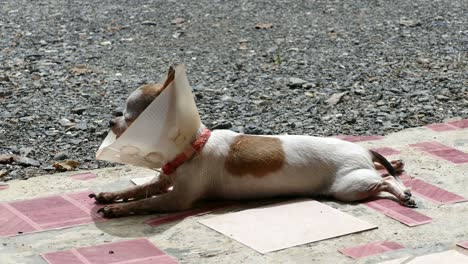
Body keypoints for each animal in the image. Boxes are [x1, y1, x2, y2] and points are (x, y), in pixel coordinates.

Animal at [89, 83, 414, 219]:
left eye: (129, 117)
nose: (110, 120)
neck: (193, 146)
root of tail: (364, 152)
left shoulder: (177, 200)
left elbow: (146, 202)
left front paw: (118, 209)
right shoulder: (164, 181)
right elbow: (138, 189)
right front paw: (110, 195)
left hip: (349, 187)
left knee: (385, 182)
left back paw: (404, 194)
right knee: (385, 173)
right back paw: (396, 165)